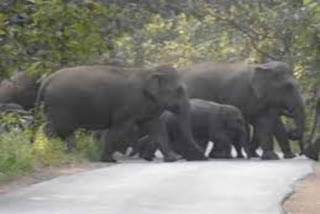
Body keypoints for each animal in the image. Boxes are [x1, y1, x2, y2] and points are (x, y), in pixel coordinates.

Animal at [37, 65, 208, 162]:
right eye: (179, 90)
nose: (204, 158)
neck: (149, 72)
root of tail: (46, 81)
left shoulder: (147, 107)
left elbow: (157, 128)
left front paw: (171, 159)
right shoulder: (127, 108)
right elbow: (119, 128)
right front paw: (108, 160)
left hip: (52, 107)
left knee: (51, 128)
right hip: (61, 106)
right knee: (62, 129)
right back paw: (67, 152)